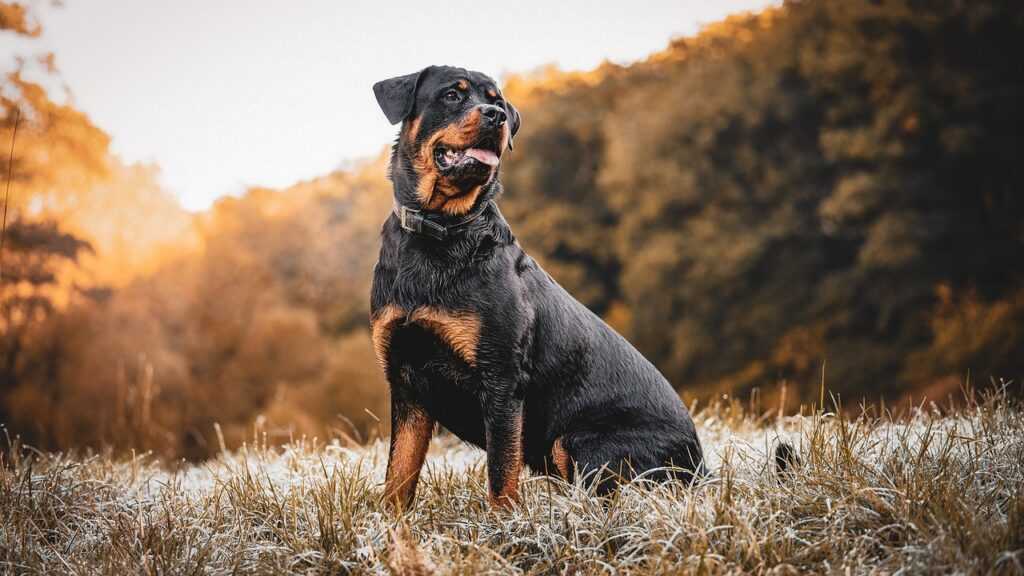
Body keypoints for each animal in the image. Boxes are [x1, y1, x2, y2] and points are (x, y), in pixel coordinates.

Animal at [374, 65, 704, 508]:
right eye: (452, 95)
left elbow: (501, 475)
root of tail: (701, 467)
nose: (496, 115)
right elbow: (399, 474)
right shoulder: (406, 382)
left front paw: (502, 525)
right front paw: (390, 525)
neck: (441, 230)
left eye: (496, 100)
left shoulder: (501, 380)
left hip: (578, 441)